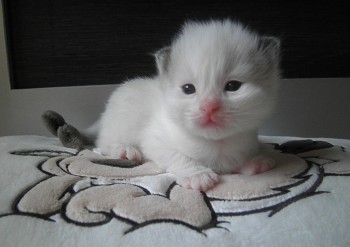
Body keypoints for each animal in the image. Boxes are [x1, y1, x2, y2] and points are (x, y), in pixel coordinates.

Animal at [96, 20, 282, 192]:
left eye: (233, 86)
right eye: (188, 89)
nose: (209, 107)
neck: (215, 144)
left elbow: (238, 158)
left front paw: (254, 161)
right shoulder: (155, 140)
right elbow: (179, 156)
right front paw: (198, 175)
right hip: (118, 125)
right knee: (104, 143)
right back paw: (124, 150)